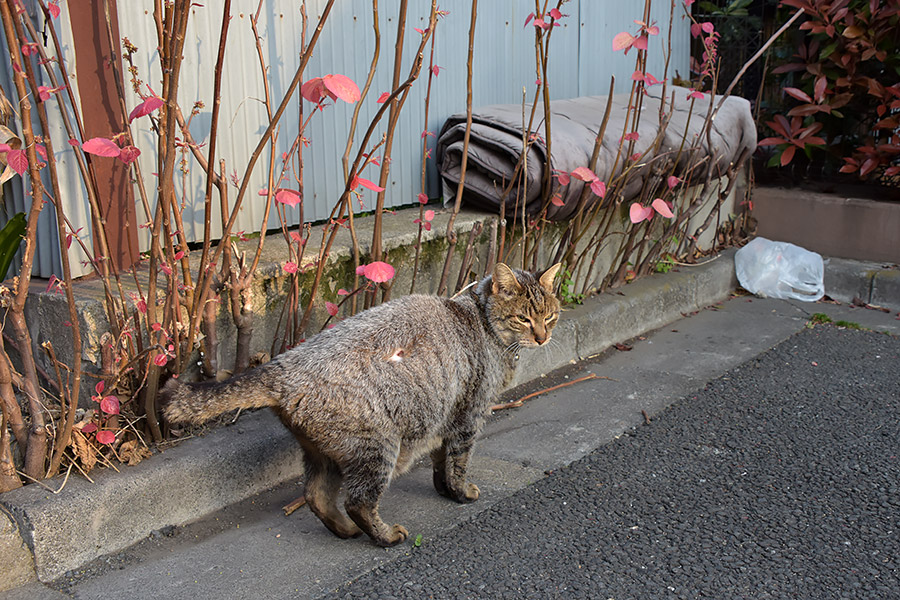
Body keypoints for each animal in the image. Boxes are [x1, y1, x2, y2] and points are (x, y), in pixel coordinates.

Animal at [158, 260, 560, 548]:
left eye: (551, 316)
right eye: (524, 318)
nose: (543, 337)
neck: (481, 322)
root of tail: (283, 367)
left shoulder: (443, 417)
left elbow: (439, 462)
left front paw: (444, 490)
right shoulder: (469, 416)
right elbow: (457, 464)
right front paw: (461, 494)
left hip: (324, 451)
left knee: (316, 495)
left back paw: (345, 530)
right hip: (377, 446)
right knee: (358, 501)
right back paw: (384, 536)